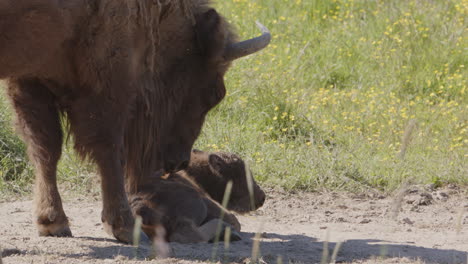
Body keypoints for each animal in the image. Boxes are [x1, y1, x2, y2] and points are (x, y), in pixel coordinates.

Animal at [130, 151, 266, 243]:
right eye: (242, 175)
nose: (262, 197)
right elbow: (235, 221)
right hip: (197, 202)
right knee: (186, 234)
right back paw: (227, 230)